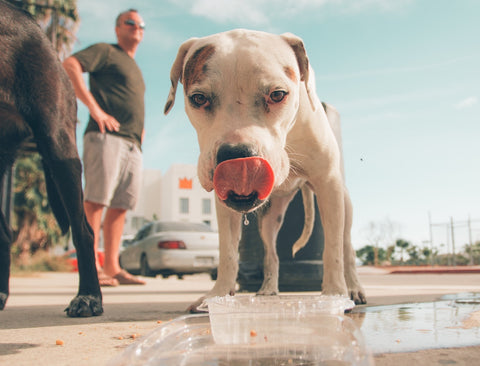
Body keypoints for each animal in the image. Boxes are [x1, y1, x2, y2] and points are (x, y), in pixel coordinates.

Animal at [165, 29, 368, 312]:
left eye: (278, 94)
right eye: (198, 98)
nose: (237, 155)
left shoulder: (328, 184)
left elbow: (332, 251)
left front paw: (335, 294)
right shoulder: (224, 206)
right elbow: (228, 253)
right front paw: (217, 295)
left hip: (343, 205)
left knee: (346, 247)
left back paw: (354, 288)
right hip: (270, 219)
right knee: (271, 254)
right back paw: (268, 289)